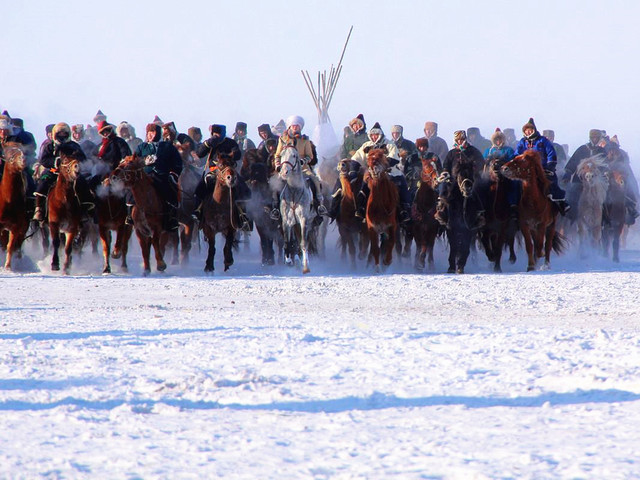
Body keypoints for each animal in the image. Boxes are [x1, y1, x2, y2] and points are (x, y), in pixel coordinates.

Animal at [278, 145, 314, 274]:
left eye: (294, 155)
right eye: (281, 154)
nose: (284, 172)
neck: (294, 191)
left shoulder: (303, 220)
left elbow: (303, 243)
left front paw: (306, 266)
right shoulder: (286, 221)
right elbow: (287, 243)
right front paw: (288, 261)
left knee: (302, 241)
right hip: (294, 224)